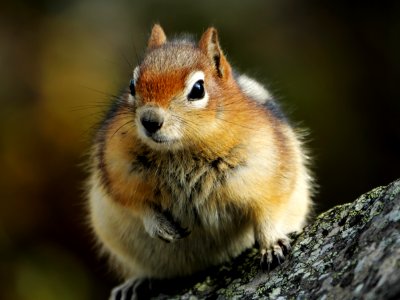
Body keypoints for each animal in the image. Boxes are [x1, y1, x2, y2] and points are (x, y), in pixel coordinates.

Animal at [86, 25, 312, 298]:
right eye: (131, 84)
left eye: (197, 89)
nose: (149, 120)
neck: (181, 152)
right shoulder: (118, 172)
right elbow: (135, 203)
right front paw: (159, 226)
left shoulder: (268, 171)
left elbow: (269, 210)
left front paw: (272, 245)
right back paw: (135, 284)